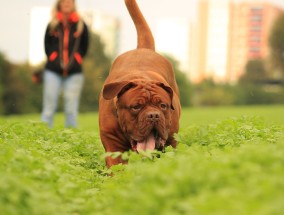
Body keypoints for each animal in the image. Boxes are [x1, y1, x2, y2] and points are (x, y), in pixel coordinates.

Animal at [98, 0, 181, 168]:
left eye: (163, 106)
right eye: (136, 107)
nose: (154, 115)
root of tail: (143, 48)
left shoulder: (171, 142)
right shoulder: (113, 145)